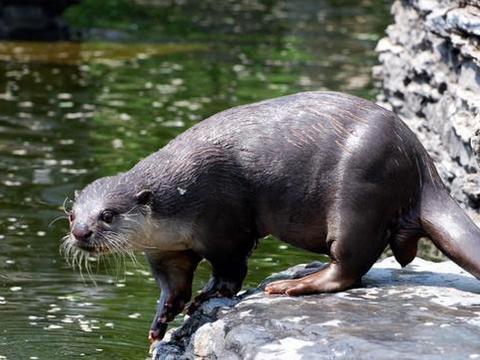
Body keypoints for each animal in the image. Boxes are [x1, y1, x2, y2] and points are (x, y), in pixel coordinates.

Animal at [63, 90, 480, 344]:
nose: (81, 232)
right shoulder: (167, 251)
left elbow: (229, 271)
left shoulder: (223, 223)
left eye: (107, 215)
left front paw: (207, 296)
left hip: (359, 191)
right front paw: (161, 320)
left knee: (350, 264)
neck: (178, 200)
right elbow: (173, 286)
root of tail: (417, 158)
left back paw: (293, 285)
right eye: (71, 215)